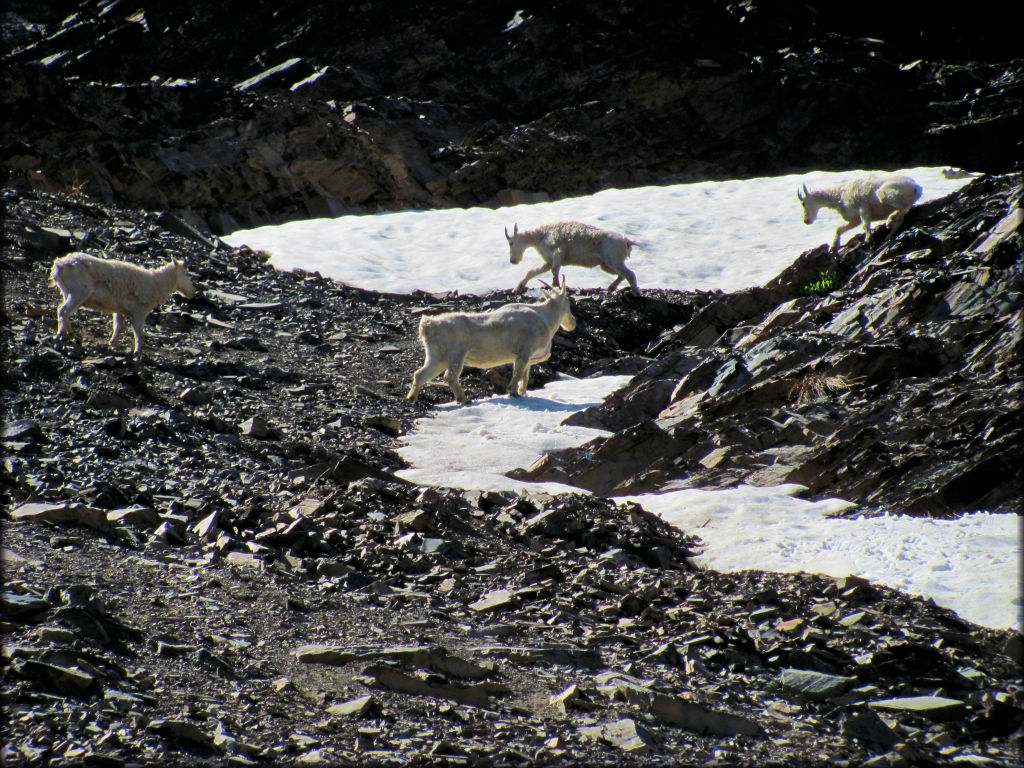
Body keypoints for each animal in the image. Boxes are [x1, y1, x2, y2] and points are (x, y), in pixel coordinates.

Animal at [48, 253, 196, 360]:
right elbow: (139, 333)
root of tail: (60, 265)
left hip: (67, 292)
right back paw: (61, 335)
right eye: (186, 273)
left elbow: (119, 327)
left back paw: (70, 333)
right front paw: (138, 353)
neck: (157, 283)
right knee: (63, 311)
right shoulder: (139, 312)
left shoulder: (120, 311)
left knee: (64, 311)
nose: (192, 292)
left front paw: (114, 345)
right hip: (78, 293)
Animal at [405, 278, 577, 409]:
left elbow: (525, 373)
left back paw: (411, 398)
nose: (573, 323)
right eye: (567, 301)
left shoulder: (527, 354)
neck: (546, 318)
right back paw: (464, 399)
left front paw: (522, 391)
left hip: (437, 355)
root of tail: (427, 326)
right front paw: (513, 392)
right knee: (450, 376)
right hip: (456, 353)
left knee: (421, 373)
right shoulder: (525, 350)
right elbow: (518, 372)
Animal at [505, 224, 638, 296]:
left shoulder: (557, 252)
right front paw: (517, 287)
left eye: (511, 243)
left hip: (613, 259)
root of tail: (627, 241)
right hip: (606, 264)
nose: (512, 260)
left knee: (630, 274)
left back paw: (635, 292)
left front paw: (556, 286)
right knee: (622, 275)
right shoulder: (548, 261)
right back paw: (611, 287)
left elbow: (555, 270)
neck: (539, 236)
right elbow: (532, 271)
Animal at [794, 174, 925, 249]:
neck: (839, 197)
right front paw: (833, 247)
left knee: (904, 206)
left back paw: (889, 220)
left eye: (803, 203)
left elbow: (865, 225)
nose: (806, 220)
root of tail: (916, 187)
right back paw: (889, 233)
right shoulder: (854, 219)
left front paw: (868, 240)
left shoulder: (863, 206)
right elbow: (839, 229)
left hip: (886, 194)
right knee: (903, 214)